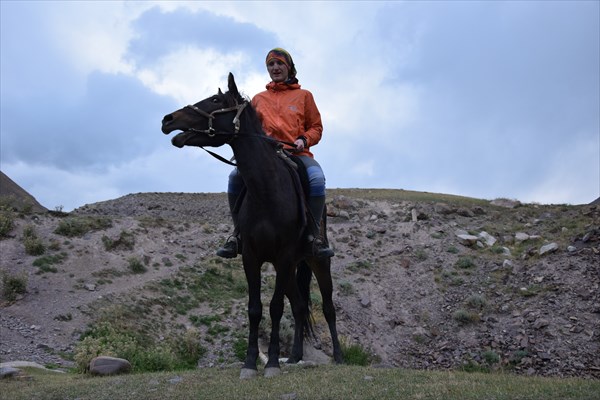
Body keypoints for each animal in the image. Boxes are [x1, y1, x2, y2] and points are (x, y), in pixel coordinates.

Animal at [162, 74, 342, 378]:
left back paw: (340, 357)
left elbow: (275, 307)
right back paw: (295, 356)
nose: (168, 119)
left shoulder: (283, 257)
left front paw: (271, 363)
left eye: (215, 100)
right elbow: (256, 309)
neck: (267, 190)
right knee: (299, 306)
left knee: (327, 307)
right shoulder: (251, 257)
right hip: (290, 268)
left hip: (316, 262)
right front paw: (249, 363)